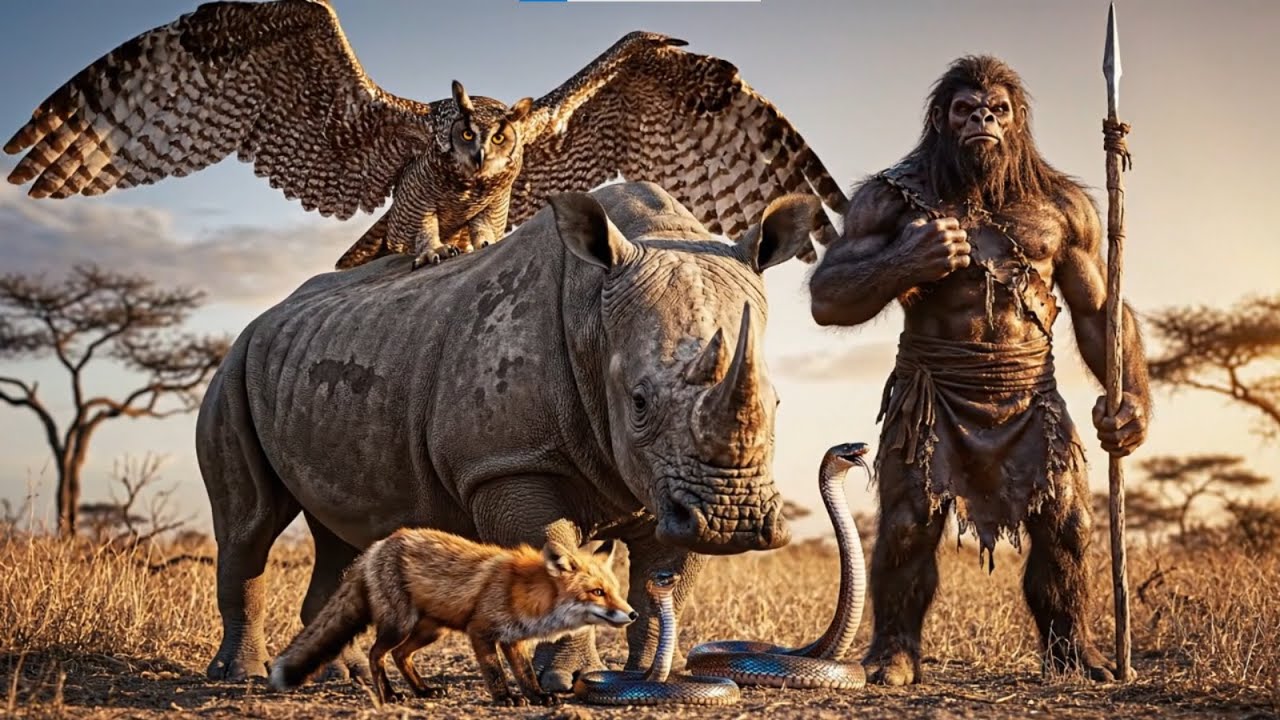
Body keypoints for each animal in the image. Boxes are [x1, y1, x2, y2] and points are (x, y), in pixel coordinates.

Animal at [267, 527, 635, 706]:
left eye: (616, 590)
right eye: (597, 592)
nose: (631, 614)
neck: (527, 592)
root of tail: (376, 547)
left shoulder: (513, 639)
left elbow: (526, 673)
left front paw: (538, 697)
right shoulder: (481, 631)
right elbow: (495, 673)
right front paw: (505, 699)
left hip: (431, 631)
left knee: (401, 656)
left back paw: (424, 691)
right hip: (400, 624)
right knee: (377, 654)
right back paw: (389, 695)